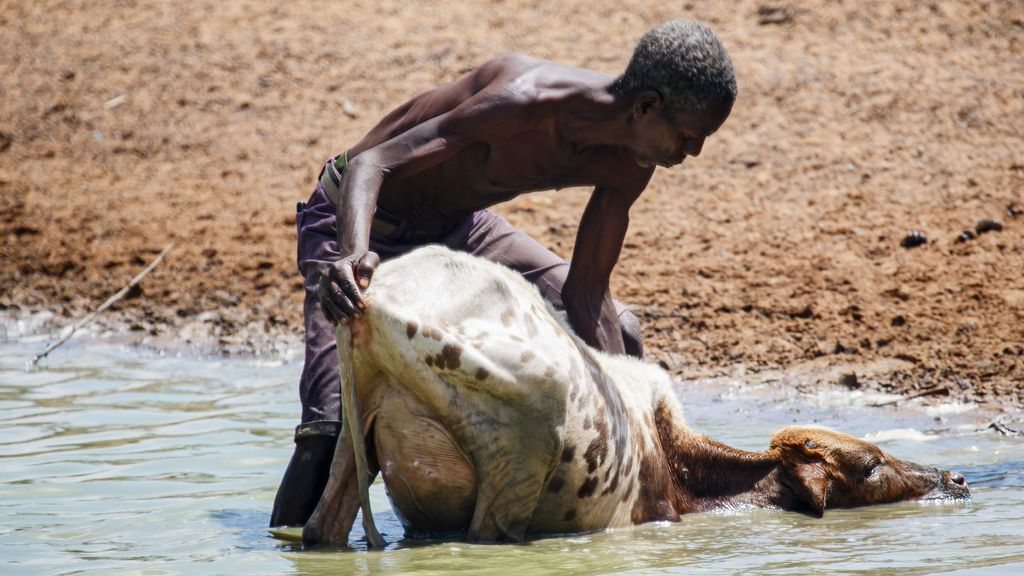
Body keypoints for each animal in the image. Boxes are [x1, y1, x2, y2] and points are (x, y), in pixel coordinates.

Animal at [299, 243, 970, 545]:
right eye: (871, 465)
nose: (957, 478)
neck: (677, 465)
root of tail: (371, 300)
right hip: (526, 442)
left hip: (353, 447)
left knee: (319, 528)